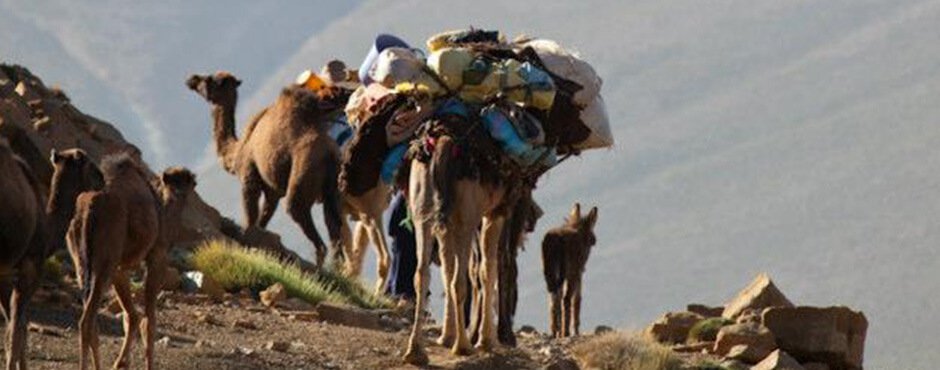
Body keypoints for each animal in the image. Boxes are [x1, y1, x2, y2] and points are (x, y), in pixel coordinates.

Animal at [0, 145, 103, 370]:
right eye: (90, 165)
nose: (102, 179)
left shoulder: (5, 272)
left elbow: (15, 327)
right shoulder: (31, 266)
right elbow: (17, 329)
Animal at [67, 154, 196, 370]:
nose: (181, 192)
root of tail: (88, 210)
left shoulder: (120, 269)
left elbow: (131, 317)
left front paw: (121, 363)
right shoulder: (157, 256)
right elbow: (148, 322)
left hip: (82, 263)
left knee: (93, 322)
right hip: (104, 262)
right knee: (86, 321)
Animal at [185, 73, 346, 268]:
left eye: (210, 79)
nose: (191, 79)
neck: (237, 150)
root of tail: (330, 154)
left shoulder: (249, 177)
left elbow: (251, 220)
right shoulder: (273, 191)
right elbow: (263, 220)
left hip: (304, 171)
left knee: (303, 219)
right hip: (334, 188)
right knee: (334, 226)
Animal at [540, 202, 600, 338]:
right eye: (592, 228)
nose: (595, 240)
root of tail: (553, 242)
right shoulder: (577, 272)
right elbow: (577, 300)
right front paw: (576, 330)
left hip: (549, 273)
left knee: (553, 300)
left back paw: (555, 331)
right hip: (567, 272)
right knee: (565, 299)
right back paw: (565, 332)